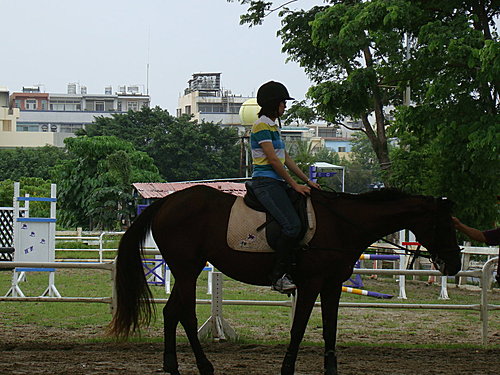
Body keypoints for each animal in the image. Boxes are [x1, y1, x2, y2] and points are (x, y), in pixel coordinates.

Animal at [108, 187, 460, 375]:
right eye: (445, 225)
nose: (455, 264)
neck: (342, 225)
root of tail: (166, 202)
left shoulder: (332, 285)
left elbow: (330, 329)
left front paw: (331, 369)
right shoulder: (311, 284)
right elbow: (299, 328)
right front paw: (287, 367)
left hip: (186, 271)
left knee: (171, 313)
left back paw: (172, 364)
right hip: (187, 269)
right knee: (186, 315)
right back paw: (204, 365)